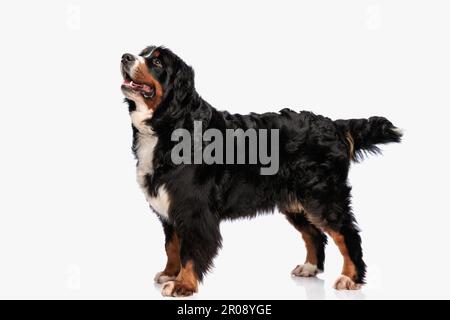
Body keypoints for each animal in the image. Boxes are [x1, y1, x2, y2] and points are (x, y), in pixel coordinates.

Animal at [118, 45, 400, 298]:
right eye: (142, 54)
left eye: (157, 62)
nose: (125, 57)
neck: (170, 124)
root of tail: (334, 125)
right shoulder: (170, 208)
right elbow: (172, 246)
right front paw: (169, 273)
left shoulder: (193, 209)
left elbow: (189, 251)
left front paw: (182, 284)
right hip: (297, 201)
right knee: (315, 235)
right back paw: (310, 267)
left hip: (323, 197)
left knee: (347, 234)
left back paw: (350, 278)